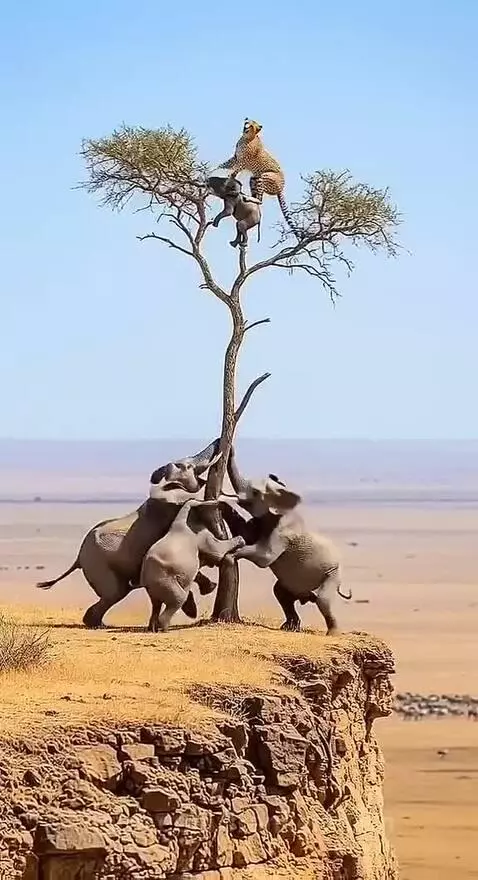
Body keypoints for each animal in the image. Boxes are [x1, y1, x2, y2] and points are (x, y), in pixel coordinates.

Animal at [36, 438, 223, 628]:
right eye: (187, 467)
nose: (217, 440)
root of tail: (78, 558)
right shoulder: (168, 516)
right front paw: (204, 595)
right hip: (97, 563)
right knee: (115, 592)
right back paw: (98, 625)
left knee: (118, 592)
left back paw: (100, 624)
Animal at [142, 496, 245, 633]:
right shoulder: (201, 535)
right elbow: (216, 552)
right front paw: (241, 540)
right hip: (165, 580)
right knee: (178, 599)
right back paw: (165, 629)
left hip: (157, 585)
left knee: (156, 604)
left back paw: (153, 628)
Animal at [221, 448, 351, 634]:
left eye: (255, 492)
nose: (230, 449)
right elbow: (246, 533)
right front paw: (222, 506)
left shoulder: (282, 531)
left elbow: (265, 557)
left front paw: (231, 555)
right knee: (280, 593)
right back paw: (290, 627)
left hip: (332, 573)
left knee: (322, 600)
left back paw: (332, 634)